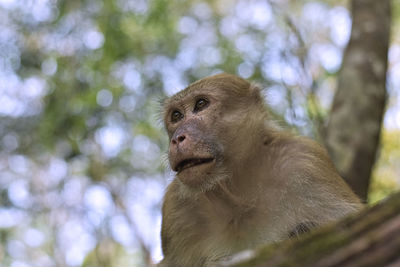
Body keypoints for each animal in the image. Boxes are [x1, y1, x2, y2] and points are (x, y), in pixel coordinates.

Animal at [159, 74, 362, 267]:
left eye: (201, 104)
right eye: (176, 116)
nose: (177, 138)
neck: (238, 194)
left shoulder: (305, 161)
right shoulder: (176, 206)